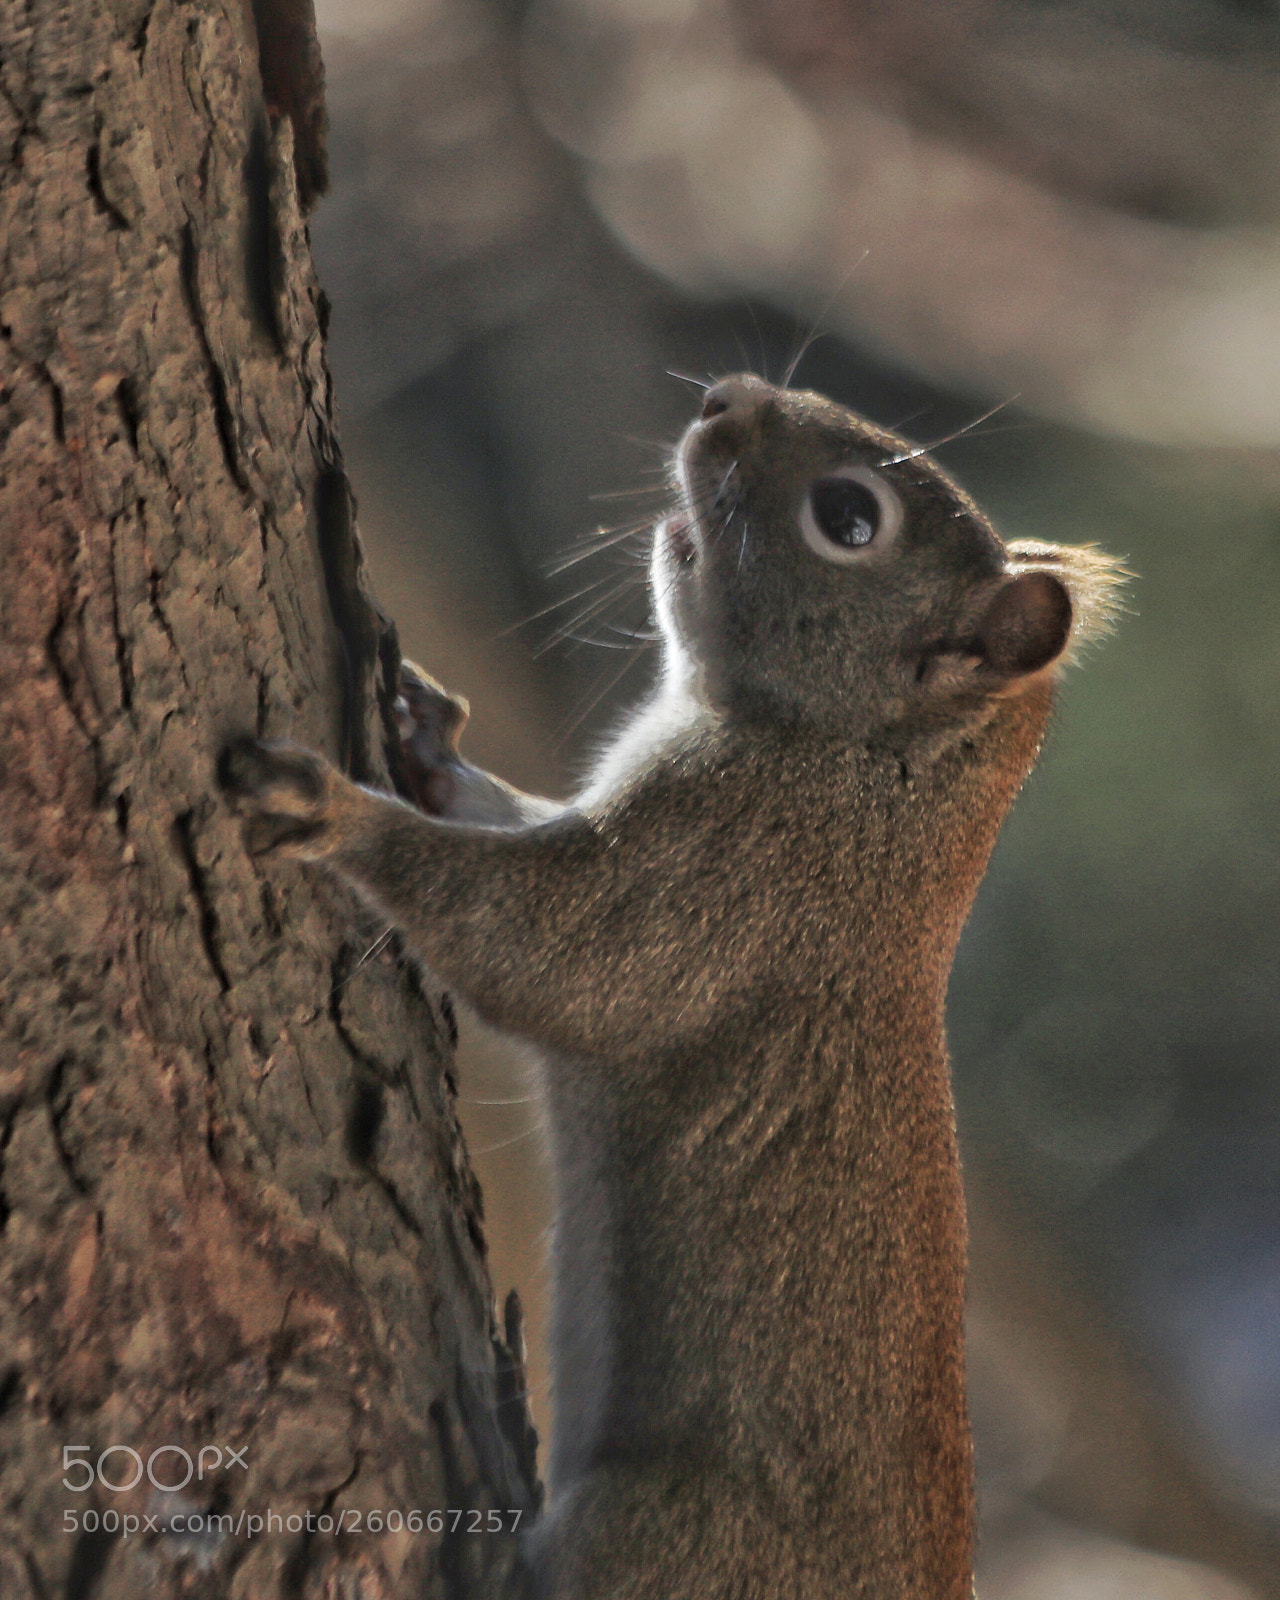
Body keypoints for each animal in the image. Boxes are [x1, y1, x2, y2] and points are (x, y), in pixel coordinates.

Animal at [221, 373, 1123, 1599]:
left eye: (849, 519)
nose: (722, 398)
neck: (868, 764)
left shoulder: (727, 880)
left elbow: (546, 951)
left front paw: (338, 812)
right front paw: (422, 740)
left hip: (662, 1535)